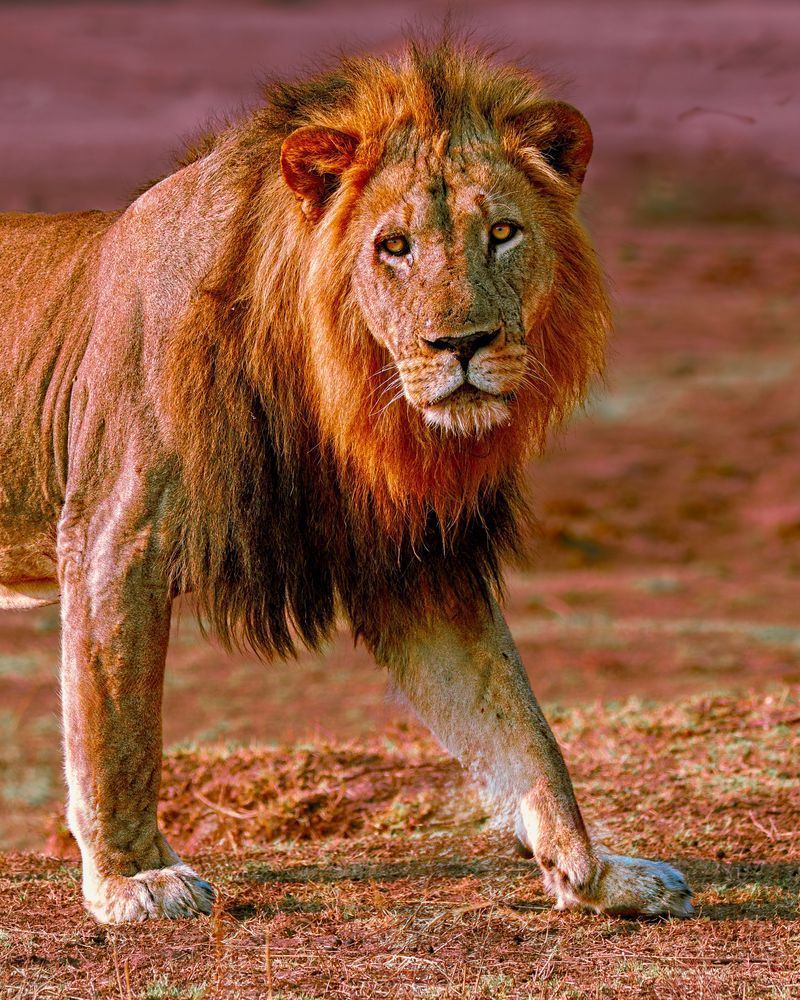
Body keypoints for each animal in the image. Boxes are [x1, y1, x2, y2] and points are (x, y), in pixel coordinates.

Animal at [0, 40, 692, 923]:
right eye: (392, 246)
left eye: (503, 233)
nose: (461, 343)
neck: (333, 391)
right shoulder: (116, 533)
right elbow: (115, 727)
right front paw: (131, 881)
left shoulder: (414, 561)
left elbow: (518, 726)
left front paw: (596, 873)